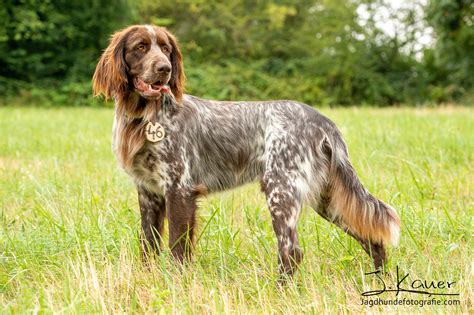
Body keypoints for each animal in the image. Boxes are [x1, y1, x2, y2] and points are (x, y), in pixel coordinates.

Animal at [91, 24, 400, 276]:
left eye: (166, 49)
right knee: (372, 238)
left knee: (291, 251)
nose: (165, 68)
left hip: (281, 191)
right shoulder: (149, 192)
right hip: (327, 198)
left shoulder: (179, 189)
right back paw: (380, 280)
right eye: (141, 47)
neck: (144, 117)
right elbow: (149, 245)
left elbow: (177, 249)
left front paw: (176, 284)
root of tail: (322, 121)